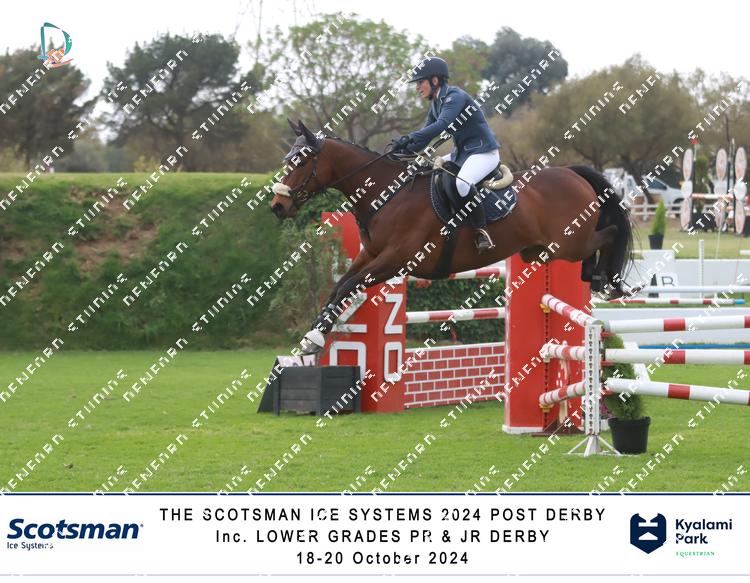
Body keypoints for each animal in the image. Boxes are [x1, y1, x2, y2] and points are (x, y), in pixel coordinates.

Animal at [270, 119, 633, 354]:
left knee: (610, 233)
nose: (277, 205)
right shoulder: (369, 256)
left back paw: (604, 278)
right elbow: (339, 287)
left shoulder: (395, 260)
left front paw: (315, 339)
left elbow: (348, 286)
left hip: (570, 242)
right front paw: (312, 337)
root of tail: (572, 172)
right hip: (542, 250)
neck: (387, 194)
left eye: (300, 161)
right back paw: (596, 277)